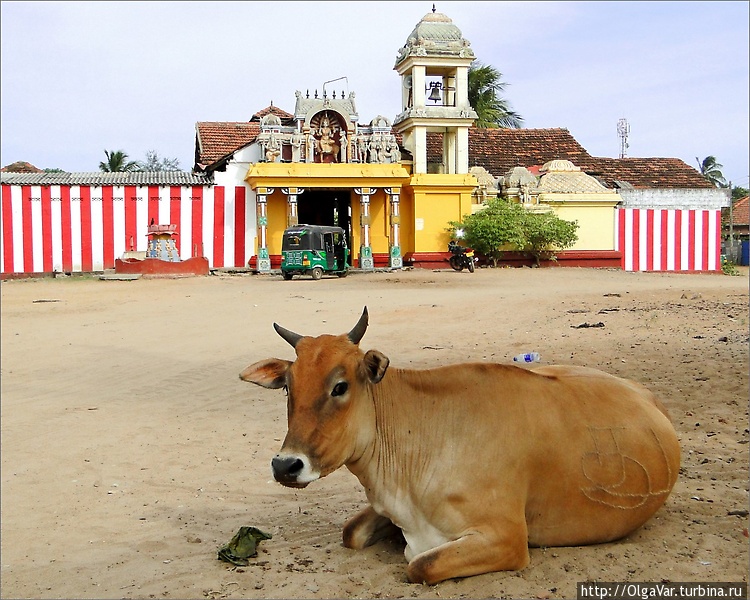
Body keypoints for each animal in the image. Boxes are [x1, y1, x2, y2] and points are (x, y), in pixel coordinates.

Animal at [241, 308, 680, 584]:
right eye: (288, 388)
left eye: (340, 386)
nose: (285, 466)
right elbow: (351, 532)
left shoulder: (507, 539)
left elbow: (420, 565)